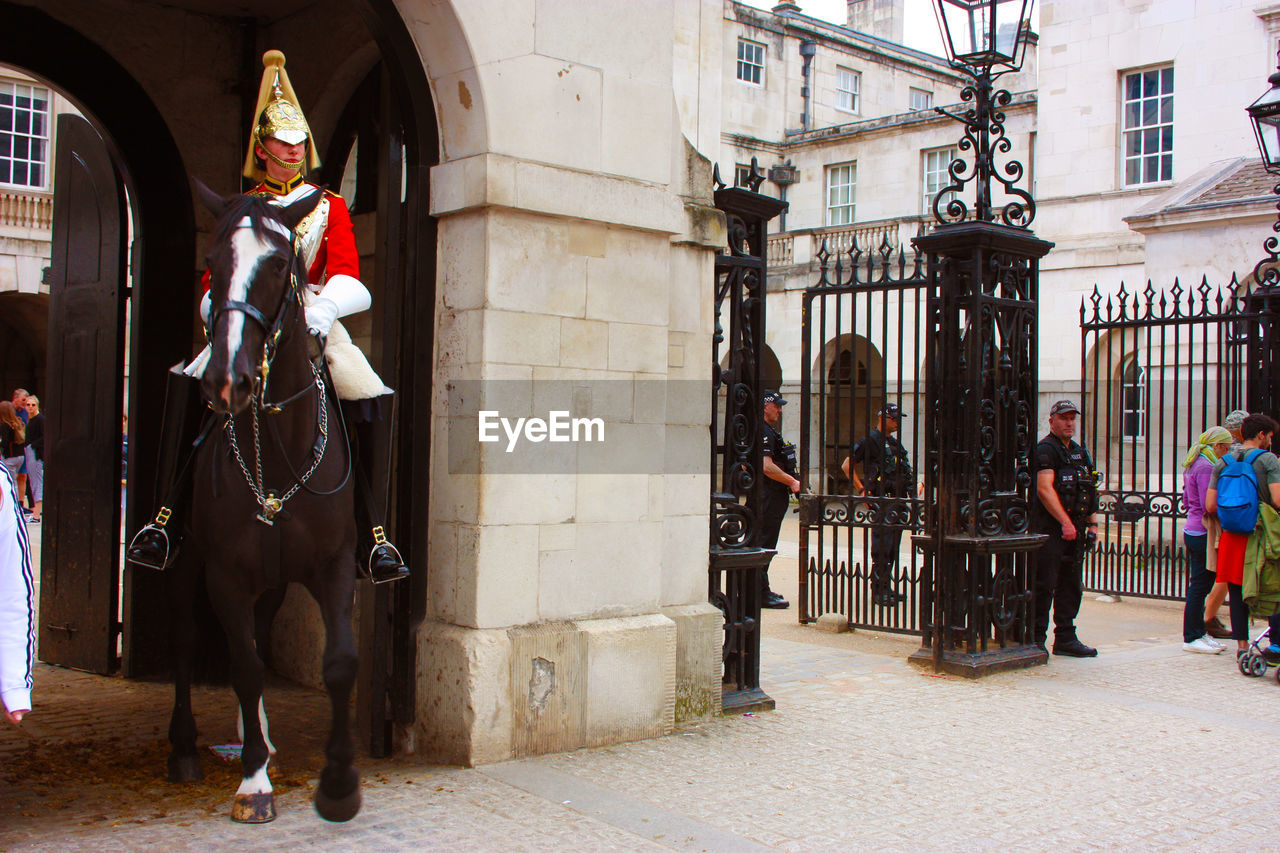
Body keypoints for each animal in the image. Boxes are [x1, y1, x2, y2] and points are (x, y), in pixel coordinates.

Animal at [165, 180, 363, 824]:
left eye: (280, 265)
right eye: (213, 262)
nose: (229, 382)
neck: (276, 452)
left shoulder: (333, 565)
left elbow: (339, 663)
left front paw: (339, 784)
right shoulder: (224, 571)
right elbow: (245, 666)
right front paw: (253, 783)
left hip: (273, 578)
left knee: (254, 627)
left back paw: (264, 739)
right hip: (186, 560)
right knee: (188, 637)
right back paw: (187, 749)